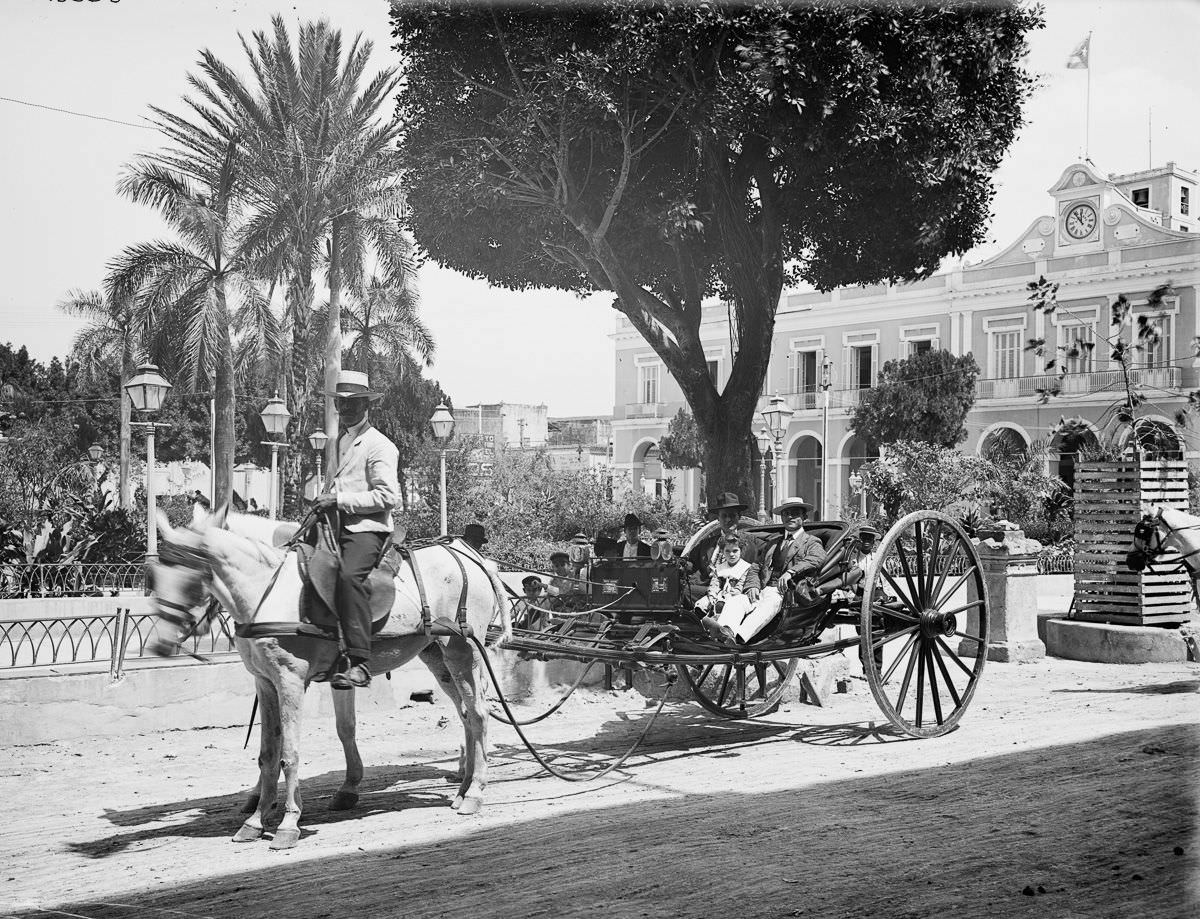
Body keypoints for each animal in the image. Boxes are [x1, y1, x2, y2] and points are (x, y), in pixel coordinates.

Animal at [150, 508, 511, 854]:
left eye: (190, 577)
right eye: (152, 576)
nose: (160, 644)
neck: (268, 590)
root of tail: (473, 559)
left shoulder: (291, 680)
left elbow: (290, 753)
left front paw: (289, 824)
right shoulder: (265, 683)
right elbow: (269, 754)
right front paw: (255, 821)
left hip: (463, 650)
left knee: (479, 713)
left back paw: (475, 793)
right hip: (438, 656)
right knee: (467, 715)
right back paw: (463, 787)